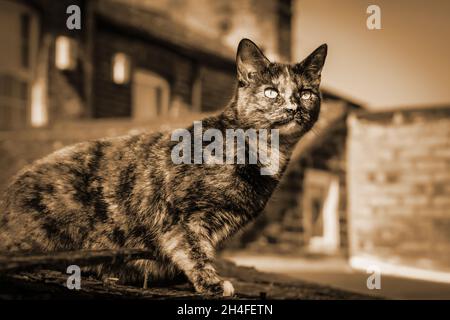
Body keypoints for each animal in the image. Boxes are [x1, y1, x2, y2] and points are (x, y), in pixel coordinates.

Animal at [0, 38, 326, 296]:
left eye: (306, 93)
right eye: (271, 91)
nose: (293, 108)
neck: (265, 152)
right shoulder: (181, 216)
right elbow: (194, 249)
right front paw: (211, 282)